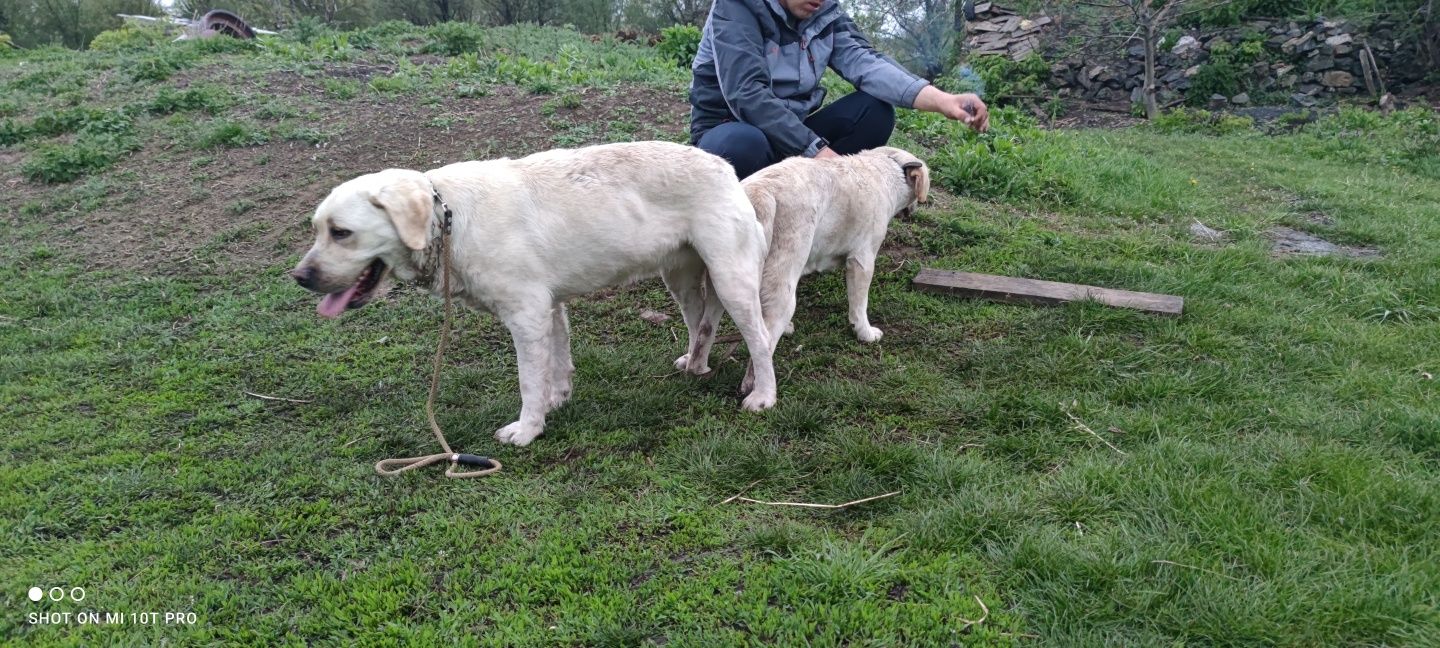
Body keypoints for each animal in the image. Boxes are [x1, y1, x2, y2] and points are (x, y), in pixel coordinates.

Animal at [290, 141, 777, 446]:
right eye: (317, 230)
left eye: (341, 233)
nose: (300, 276)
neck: (448, 220)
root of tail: (726, 168)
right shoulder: (550, 308)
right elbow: (556, 366)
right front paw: (555, 402)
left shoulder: (526, 315)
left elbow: (528, 380)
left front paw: (527, 429)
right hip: (681, 278)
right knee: (702, 323)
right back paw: (695, 364)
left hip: (731, 278)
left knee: (761, 338)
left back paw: (763, 396)